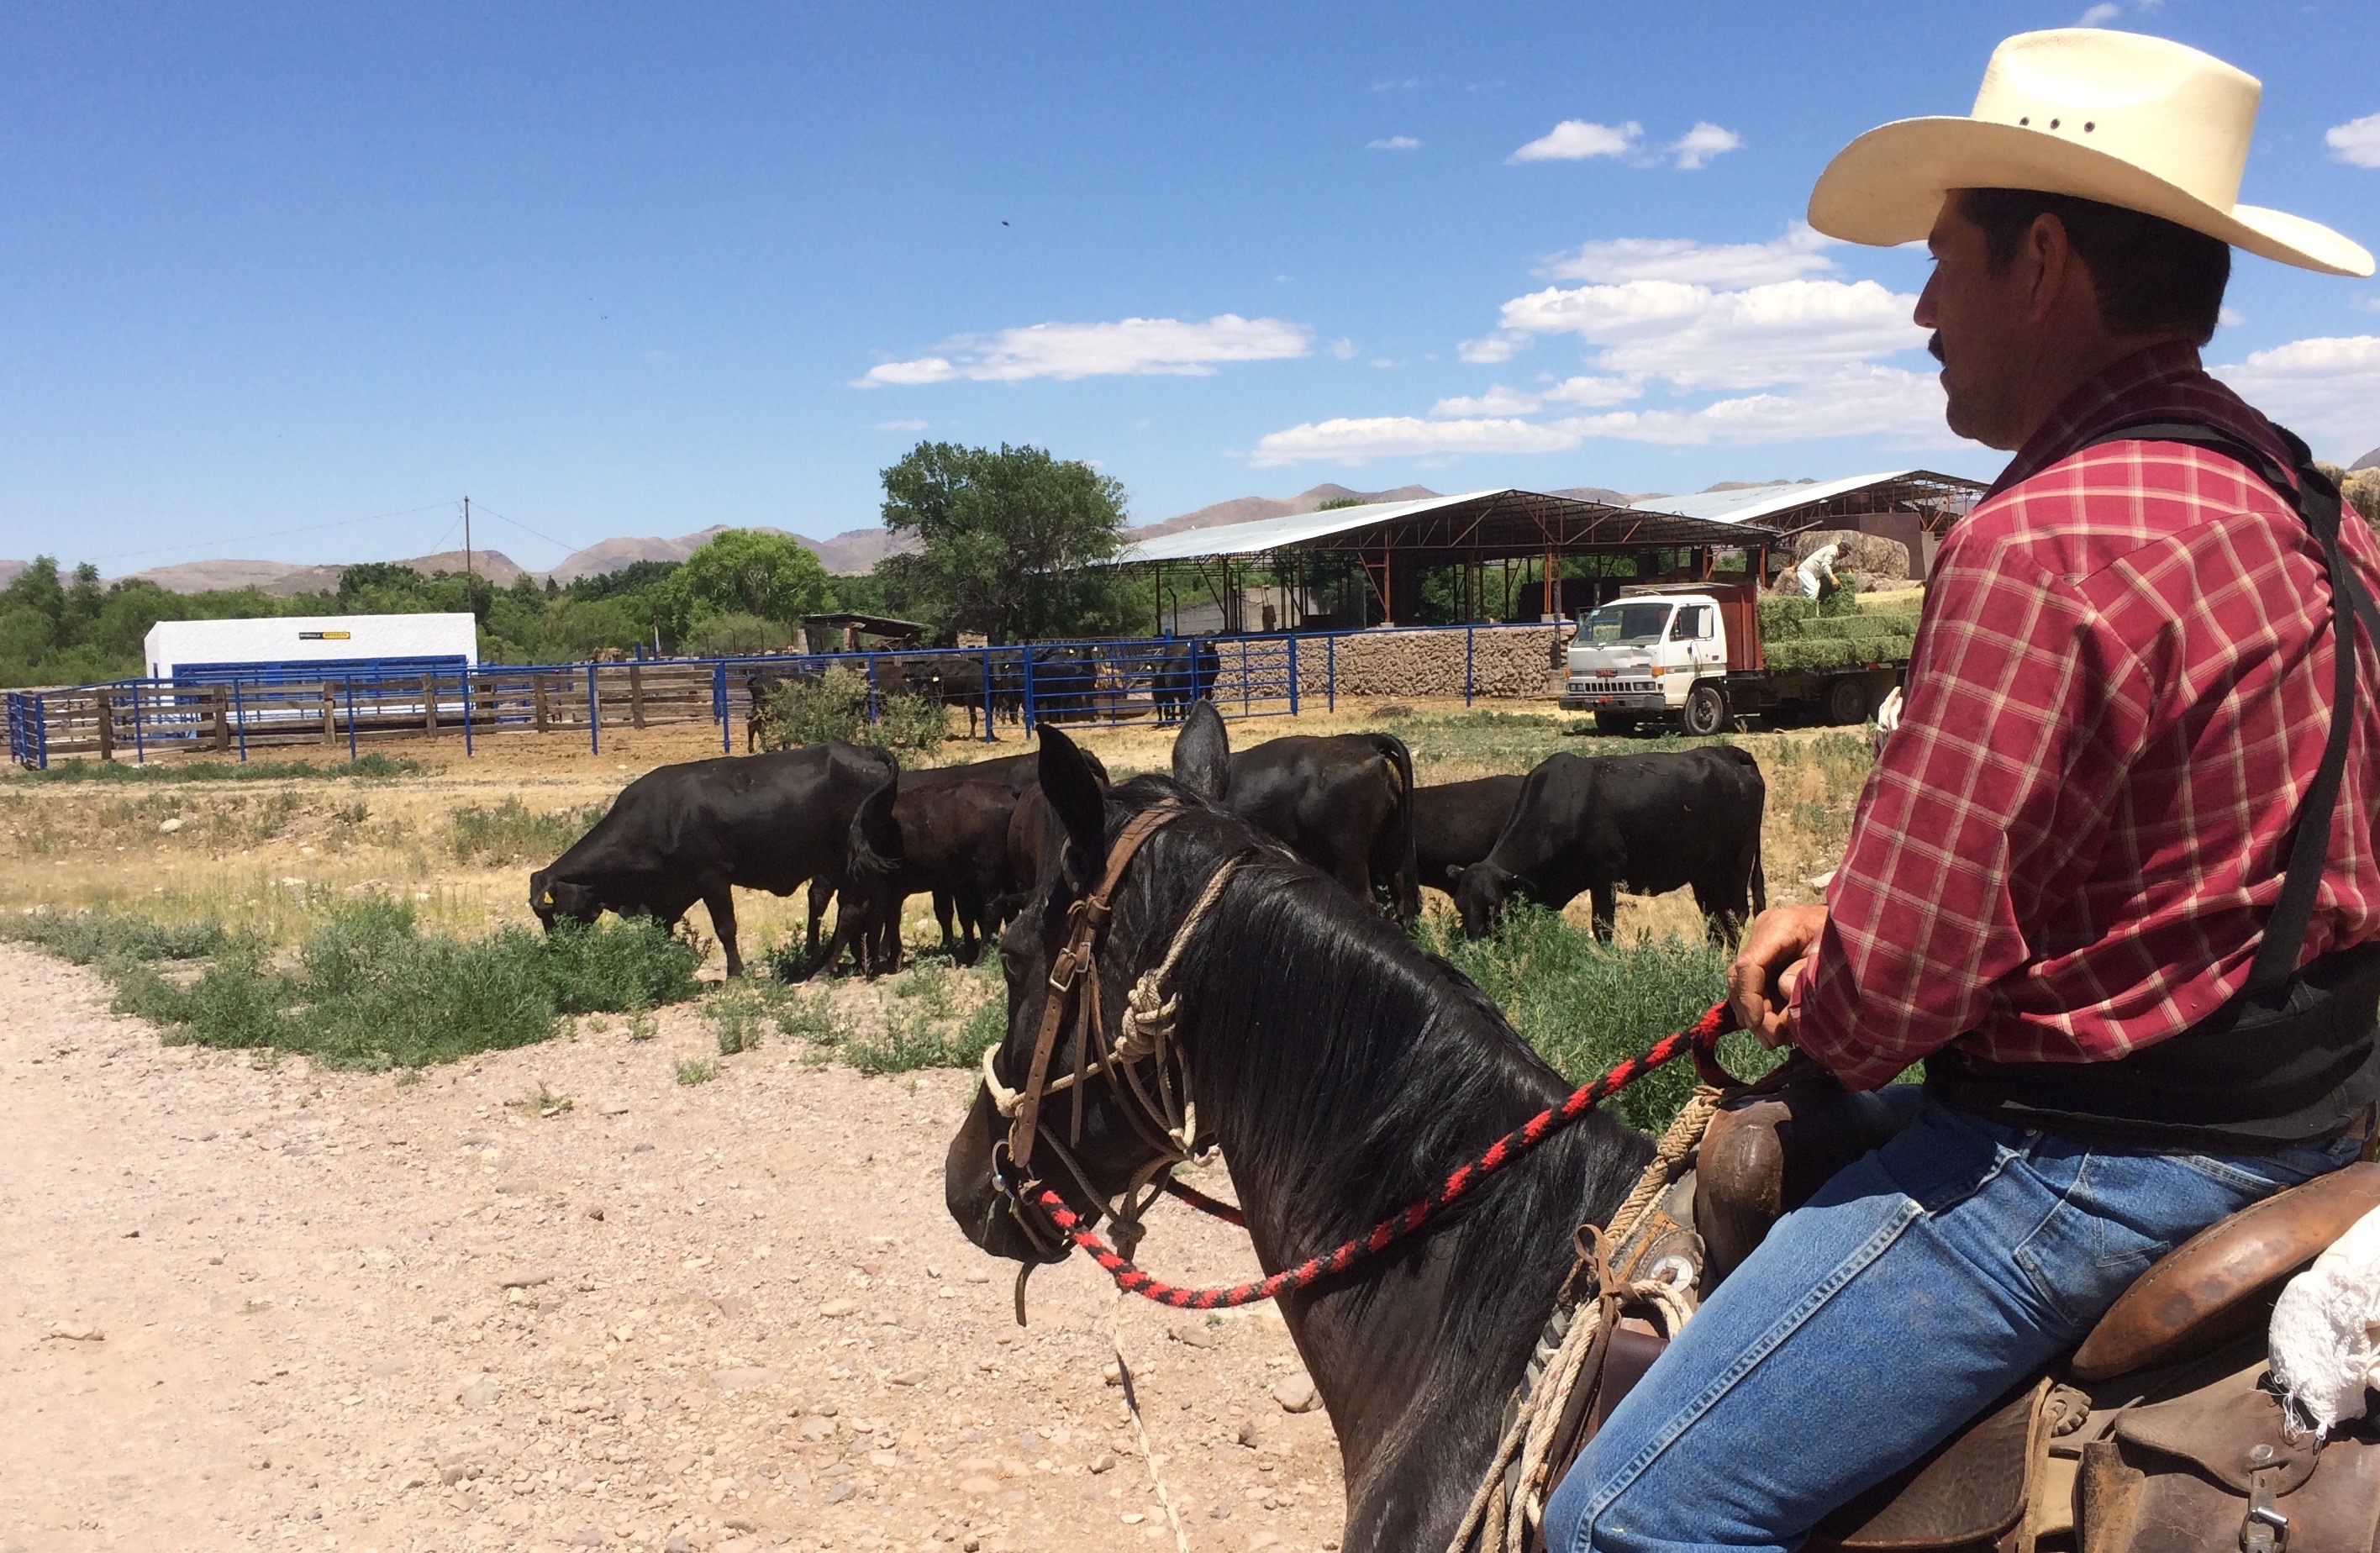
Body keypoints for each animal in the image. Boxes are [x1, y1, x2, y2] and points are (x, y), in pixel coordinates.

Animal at [529, 741, 894, 978]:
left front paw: (735, 974)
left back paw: (827, 968)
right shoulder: (669, 893)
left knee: (851, 910)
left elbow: (725, 927)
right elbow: (661, 929)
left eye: (552, 914)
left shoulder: (712, 878)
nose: (558, 951)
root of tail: (864, 751)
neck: (656, 817)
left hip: (847, 864)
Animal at [1450, 747, 1767, 944]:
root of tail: (1731, 754)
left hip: (1737, 861)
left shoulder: (1605, 876)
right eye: (1459, 905)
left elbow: (1602, 928)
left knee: (1735, 916)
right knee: (1714, 920)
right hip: (1704, 872)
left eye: (1494, 906)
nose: (1477, 947)